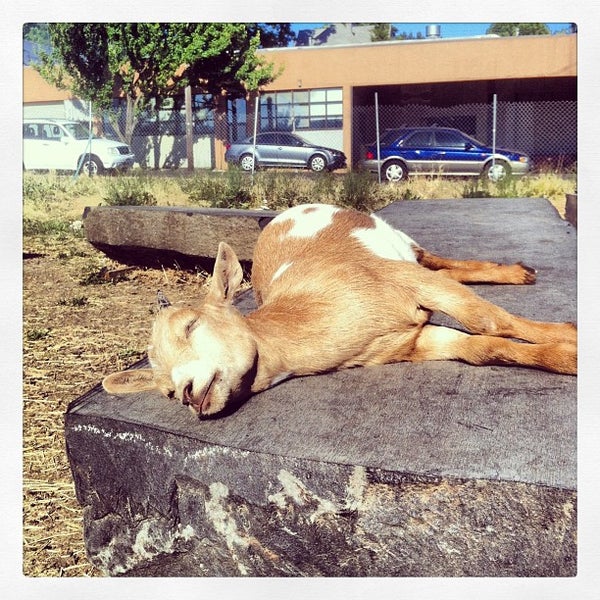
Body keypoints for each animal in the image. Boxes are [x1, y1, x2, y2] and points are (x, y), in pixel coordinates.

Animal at [103, 204, 576, 420]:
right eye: (165, 391)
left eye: (190, 323)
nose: (186, 393)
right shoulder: (411, 343)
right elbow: (484, 348)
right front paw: (564, 356)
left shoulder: (405, 281)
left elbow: (489, 321)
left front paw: (571, 338)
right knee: (443, 266)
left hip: (401, 248)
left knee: (438, 261)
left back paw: (517, 272)